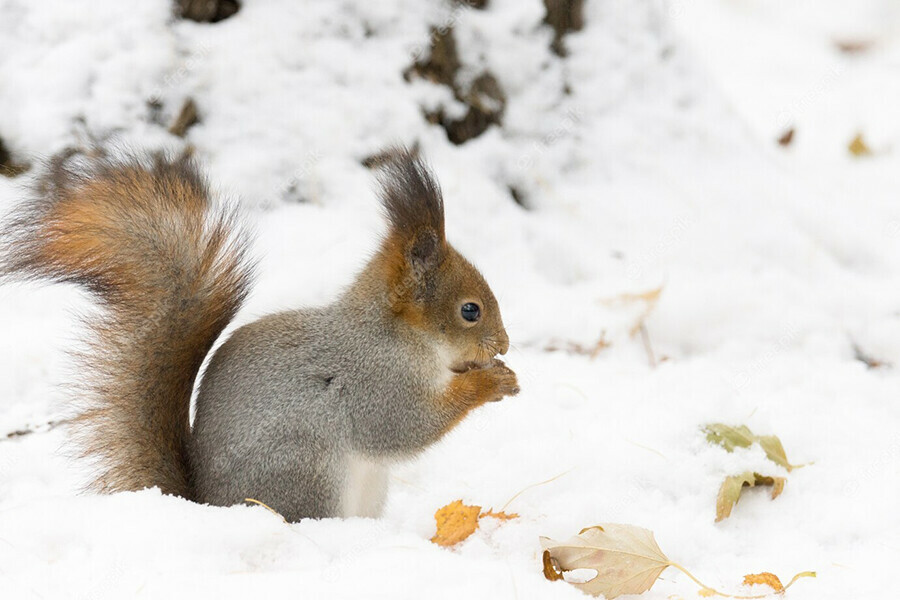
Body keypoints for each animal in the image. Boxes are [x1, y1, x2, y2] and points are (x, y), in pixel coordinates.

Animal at [0, 148, 520, 524]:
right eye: (470, 310)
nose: (504, 345)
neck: (396, 334)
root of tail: (207, 506)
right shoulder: (374, 383)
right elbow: (404, 426)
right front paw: (490, 382)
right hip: (305, 472)